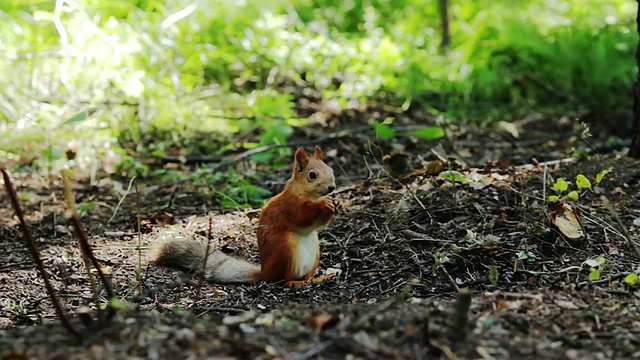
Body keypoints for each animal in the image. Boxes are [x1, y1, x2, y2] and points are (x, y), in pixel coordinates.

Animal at [152, 146, 340, 286]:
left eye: (331, 169)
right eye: (312, 175)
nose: (331, 187)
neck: (310, 196)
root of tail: (265, 273)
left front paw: (336, 203)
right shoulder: (290, 204)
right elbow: (302, 216)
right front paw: (325, 204)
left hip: (314, 250)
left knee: (307, 276)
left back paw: (319, 278)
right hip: (285, 247)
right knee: (282, 280)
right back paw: (294, 283)